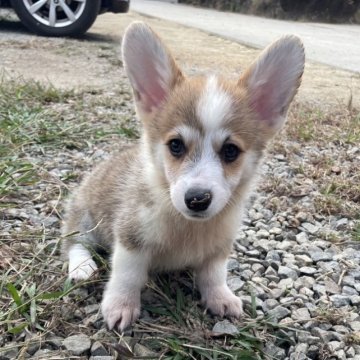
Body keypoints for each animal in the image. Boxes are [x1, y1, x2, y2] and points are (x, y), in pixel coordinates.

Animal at [62, 21, 304, 332]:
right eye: (175, 145)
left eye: (230, 151)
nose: (197, 199)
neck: (188, 226)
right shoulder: (131, 239)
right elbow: (127, 275)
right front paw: (120, 306)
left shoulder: (219, 248)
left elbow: (214, 274)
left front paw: (220, 297)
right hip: (85, 217)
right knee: (74, 241)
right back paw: (83, 267)